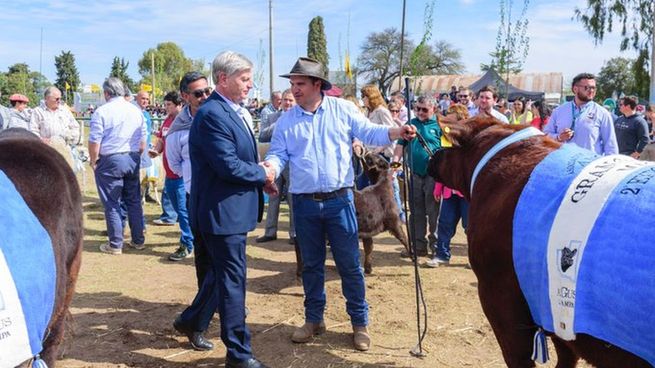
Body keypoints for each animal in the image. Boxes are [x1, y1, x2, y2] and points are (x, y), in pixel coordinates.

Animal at [426, 117, 652, 368]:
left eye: (443, 141)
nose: (431, 157)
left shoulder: (499, 299)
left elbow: (522, 356)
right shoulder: (551, 306)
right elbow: (566, 354)